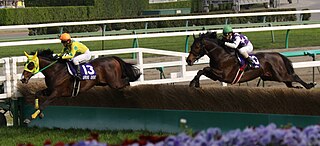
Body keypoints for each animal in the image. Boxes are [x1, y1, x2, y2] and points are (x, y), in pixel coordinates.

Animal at [186, 32, 314, 89]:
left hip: (280, 75)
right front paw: (194, 83)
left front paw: (194, 83)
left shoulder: (224, 75)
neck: (222, 55)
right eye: (191, 46)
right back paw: (298, 87)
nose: (188, 60)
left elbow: (204, 68)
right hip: (271, 76)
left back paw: (309, 85)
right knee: (289, 83)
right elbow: (201, 71)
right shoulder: (216, 75)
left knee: (294, 77)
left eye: (196, 47)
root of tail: (278, 54)